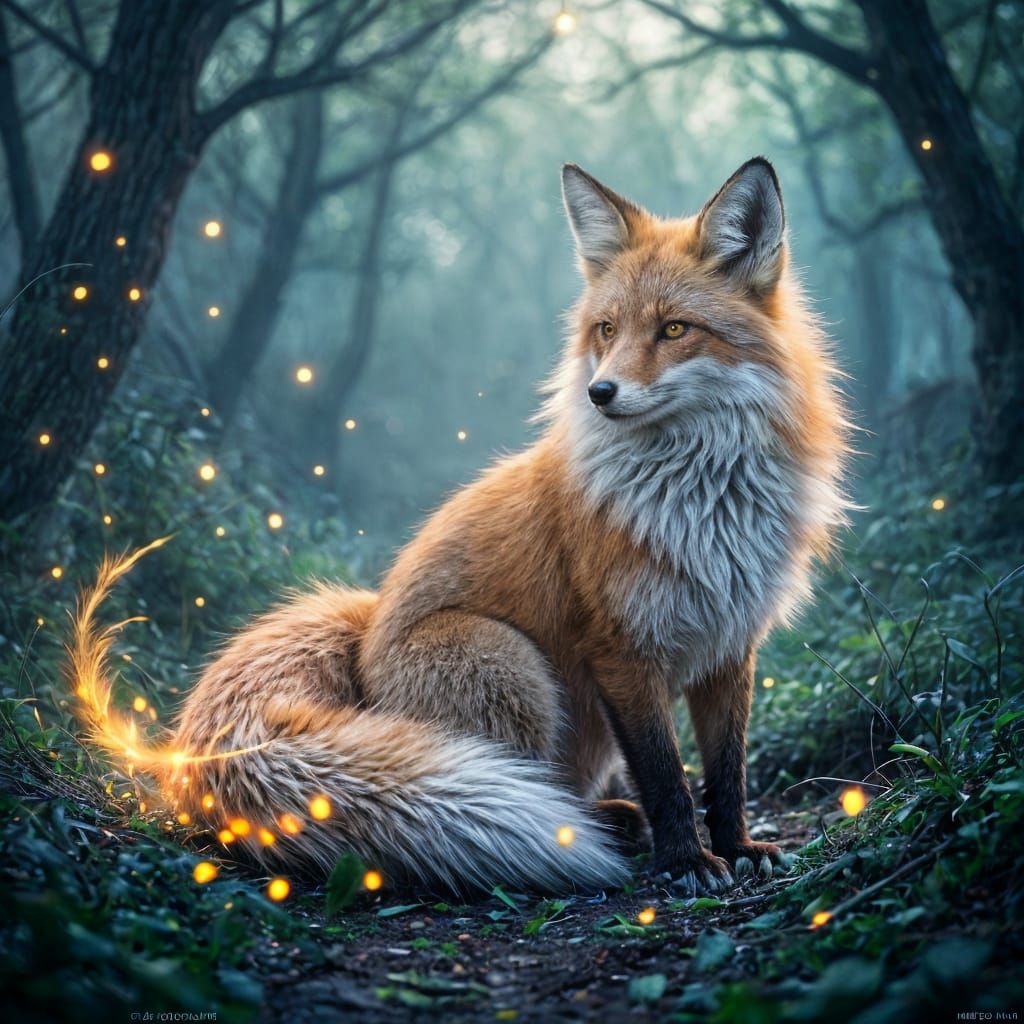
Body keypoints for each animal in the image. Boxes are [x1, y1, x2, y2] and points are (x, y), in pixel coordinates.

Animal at [153, 157, 848, 895]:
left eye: (674, 330)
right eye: (607, 330)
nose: (600, 393)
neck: (703, 500)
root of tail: (366, 635)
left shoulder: (730, 643)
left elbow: (726, 771)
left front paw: (738, 846)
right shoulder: (622, 651)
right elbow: (666, 777)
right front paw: (686, 860)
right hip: (514, 666)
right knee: (534, 788)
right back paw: (595, 830)